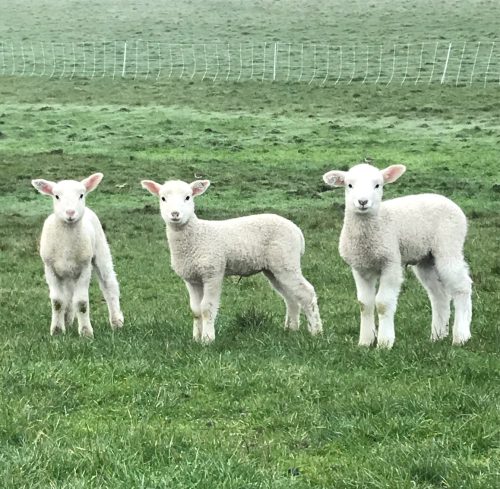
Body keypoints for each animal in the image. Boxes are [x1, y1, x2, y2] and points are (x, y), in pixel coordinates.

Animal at [31, 173, 123, 338]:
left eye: (81, 195)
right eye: (56, 196)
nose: (70, 213)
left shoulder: (84, 268)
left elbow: (81, 303)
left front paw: (86, 332)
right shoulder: (50, 268)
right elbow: (57, 302)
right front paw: (57, 330)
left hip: (100, 250)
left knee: (109, 284)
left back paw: (116, 321)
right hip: (67, 273)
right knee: (68, 295)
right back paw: (67, 320)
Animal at [142, 177, 320, 342]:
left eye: (188, 197)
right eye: (163, 198)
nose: (175, 214)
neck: (197, 236)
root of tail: (296, 230)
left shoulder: (213, 272)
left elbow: (207, 308)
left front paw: (208, 339)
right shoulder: (191, 278)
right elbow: (195, 310)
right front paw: (196, 338)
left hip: (286, 260)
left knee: (307, 293)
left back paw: (316, 331)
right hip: (274, 268)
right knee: (291, 297)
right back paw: (291, 329)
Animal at [322, 164, 470, 346]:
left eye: (377, 185)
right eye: (349, 185)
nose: (363, 202)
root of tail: (447, 200)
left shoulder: (390, 263)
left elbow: (383, 303)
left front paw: (385, 342)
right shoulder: (360, 268)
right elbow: (365, 304)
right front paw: (365, 342)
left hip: (449, 245)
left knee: (462, 287)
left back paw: (461, 336)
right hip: (426, 259)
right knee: (439, 296)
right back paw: (437, 336)